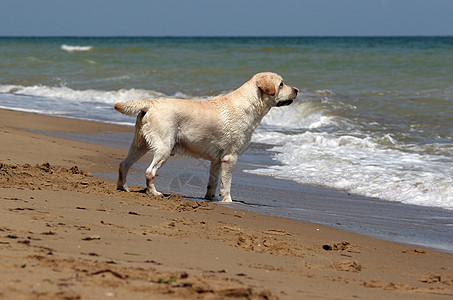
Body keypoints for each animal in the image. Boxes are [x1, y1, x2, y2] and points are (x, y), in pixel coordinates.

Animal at [114, 72, 296, 203]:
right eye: (281, 84)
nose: (297, 90)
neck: (251, 104)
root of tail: (151, 103)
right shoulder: (230, 158)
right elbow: (226, 184)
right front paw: (228, 201)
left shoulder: (216, 160)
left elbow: (213, 182)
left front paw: (211, 198)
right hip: (164, 148)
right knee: (149, 171)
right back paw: (154, 192)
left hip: (139, 144)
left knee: (124, 164)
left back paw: (123, 187)